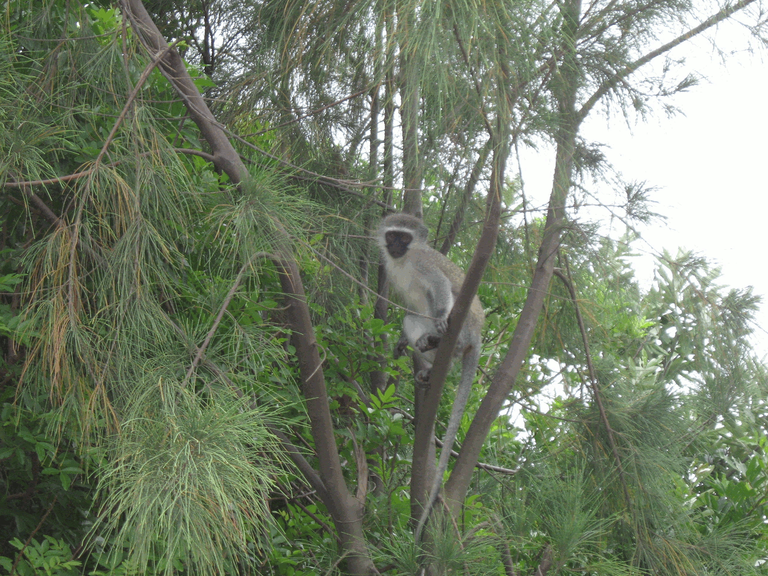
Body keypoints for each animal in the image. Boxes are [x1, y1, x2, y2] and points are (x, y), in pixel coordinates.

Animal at [376, 212, 484, 540]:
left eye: (405, 238)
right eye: (392, 235)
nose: (396, 246)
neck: (404, 261)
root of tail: (478, 337)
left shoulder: (424, 262)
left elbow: (439, 284)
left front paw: (439, 320)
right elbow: (410, 308)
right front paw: (401, 341)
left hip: (466, 324)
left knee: (446, 303)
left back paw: (445, 340)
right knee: (412, 318)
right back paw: (429, 365)